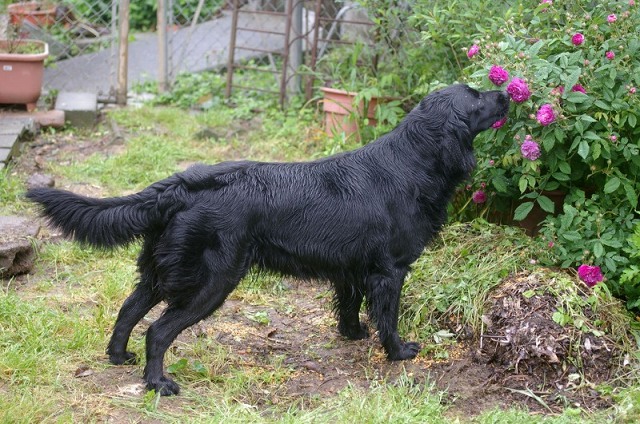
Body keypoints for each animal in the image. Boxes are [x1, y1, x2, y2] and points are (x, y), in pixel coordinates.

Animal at [27, 84, 510, 396]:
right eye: (478, 97)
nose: (507, 91)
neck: (413, 160)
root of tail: (181, 185)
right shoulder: (389, 271)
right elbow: (387, 318)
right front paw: (397, 352)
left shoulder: (352, 268)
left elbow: (350, 307)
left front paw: (352, 335)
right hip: (212, 281)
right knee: (158, 331)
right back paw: (158, 383)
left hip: (162, 271)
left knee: (128, 311)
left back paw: (118, 358)